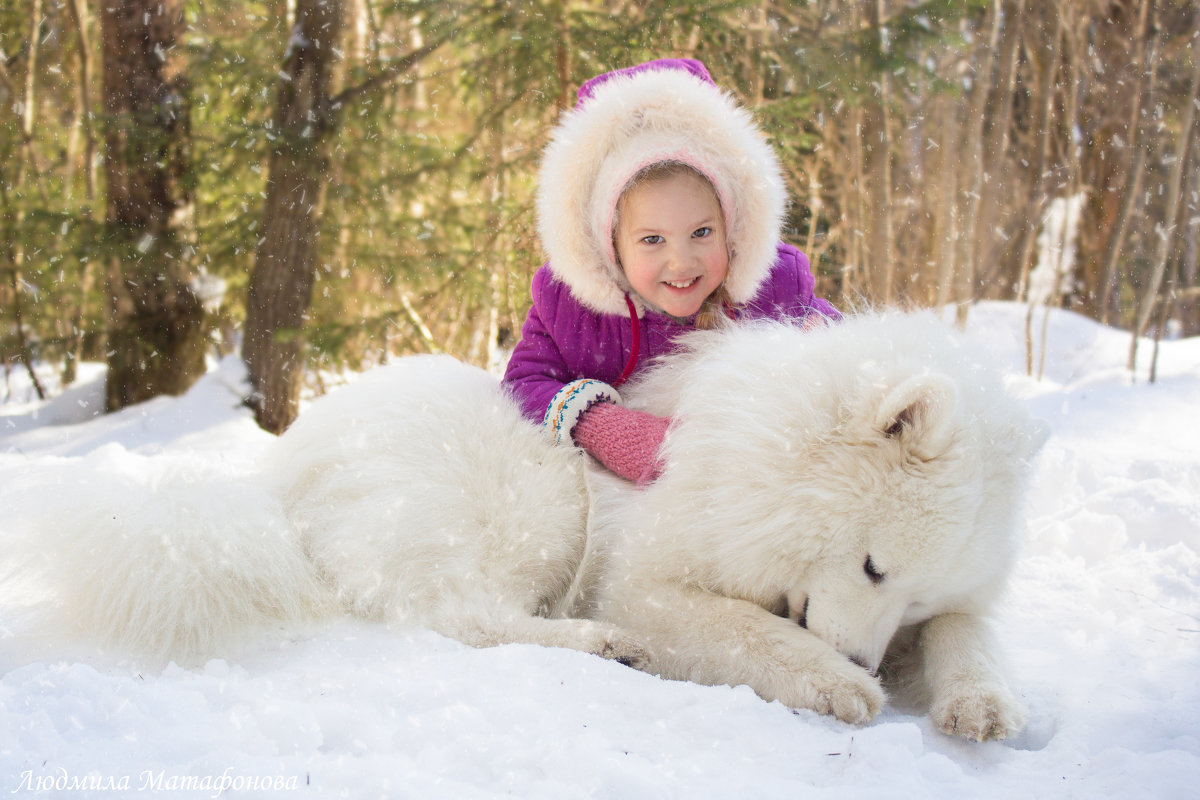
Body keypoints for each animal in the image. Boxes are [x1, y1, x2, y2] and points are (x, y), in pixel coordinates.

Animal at [0, 311, 1041, 743]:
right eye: (871, 565)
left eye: (909, 596)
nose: (870, 660)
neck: (751, 461)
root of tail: (279, 476)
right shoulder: (645, 576)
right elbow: (744, 630)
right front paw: (835, 684)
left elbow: (972, 635)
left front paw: (980, 702)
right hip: (536, 509)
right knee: (461, 616)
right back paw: (599, 644)